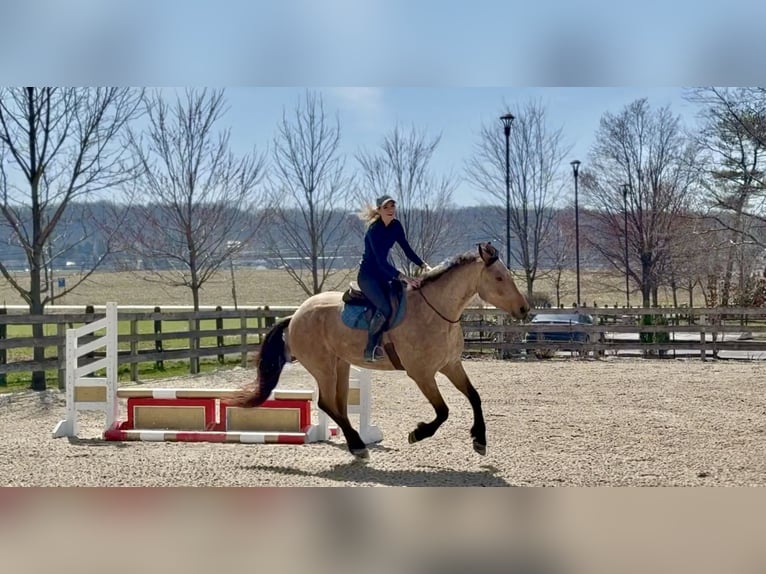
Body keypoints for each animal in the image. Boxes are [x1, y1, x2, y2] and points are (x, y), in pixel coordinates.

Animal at [227, 242, 530, 460]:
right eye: (499, 278)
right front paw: (418, 433)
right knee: (326, 403)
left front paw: (480, 440)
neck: (436, 312)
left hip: (340, 365)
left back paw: (356, 443)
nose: (524, 308)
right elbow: (443, 411)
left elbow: (475, 397)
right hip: (322, 367)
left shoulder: (451, 365)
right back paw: (358, 445)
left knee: (338, 405)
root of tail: (295, 316)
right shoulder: (422, 374)